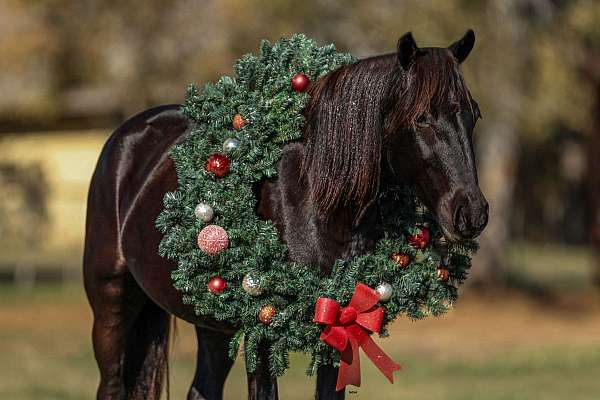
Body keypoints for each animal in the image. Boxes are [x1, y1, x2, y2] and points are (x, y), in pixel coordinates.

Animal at [83, 31, 488, 400]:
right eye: (422, 118)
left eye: (474, 114)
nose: (472, 213)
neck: (314, 198)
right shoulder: (262, 334)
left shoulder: (337, 327)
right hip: (110, 305)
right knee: (111, 384)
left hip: (213, 326)